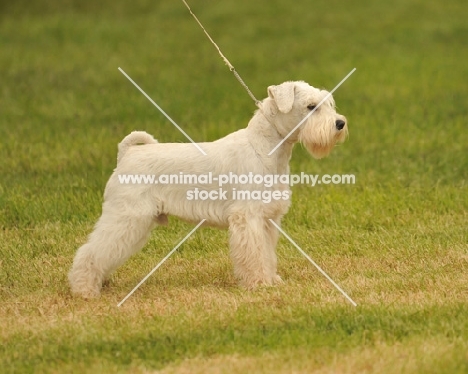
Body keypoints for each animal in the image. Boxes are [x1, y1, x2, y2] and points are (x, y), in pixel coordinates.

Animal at [69, 82, 348, 298]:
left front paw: (271, 280)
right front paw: (258, 284)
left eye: (329, 103)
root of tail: (127, 154)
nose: (340, 123)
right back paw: (84, 290)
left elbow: (267, 253)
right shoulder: (248, 218)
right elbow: (254, 254)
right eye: (311, 106)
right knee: (90, 252)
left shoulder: (267, 219)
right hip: (126, 218)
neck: (266, 149)